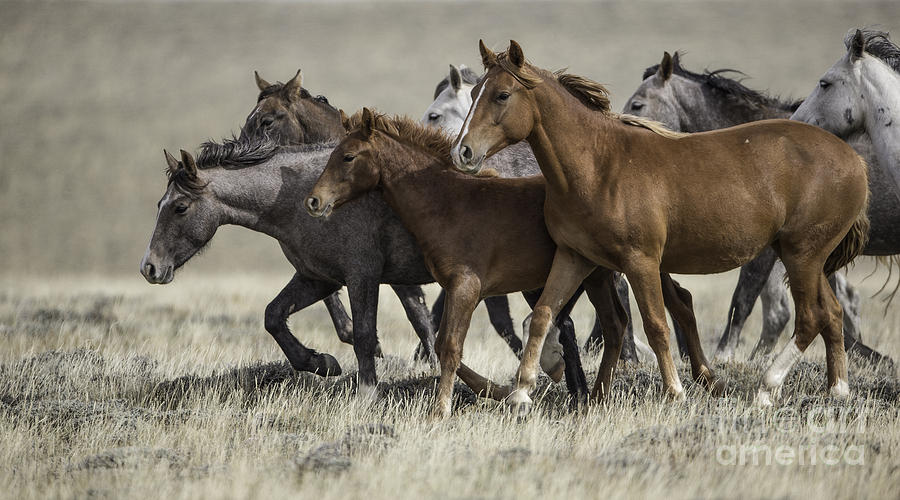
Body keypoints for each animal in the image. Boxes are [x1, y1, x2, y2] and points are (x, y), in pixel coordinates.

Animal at [306, 109, 720, 418]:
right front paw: (502, 391)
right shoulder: (459, 288)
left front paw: (442, 409)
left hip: (628, 266)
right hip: (598, 275)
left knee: (668, 307)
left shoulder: (467, 287)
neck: (449, 204)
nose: (313, 201)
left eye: (347, 156)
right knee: (627, 319)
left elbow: (449, 346)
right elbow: (442, 344)